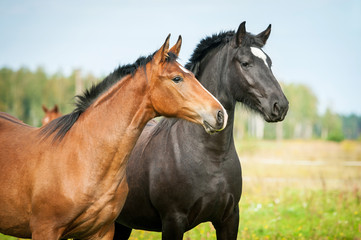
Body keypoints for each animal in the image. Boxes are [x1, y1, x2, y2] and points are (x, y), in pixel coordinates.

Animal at [114, 21, 288, 239]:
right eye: (245, 63)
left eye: (269, 63)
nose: (280, 106)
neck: (212, 157)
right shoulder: (173, 221)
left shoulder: (229, 219)